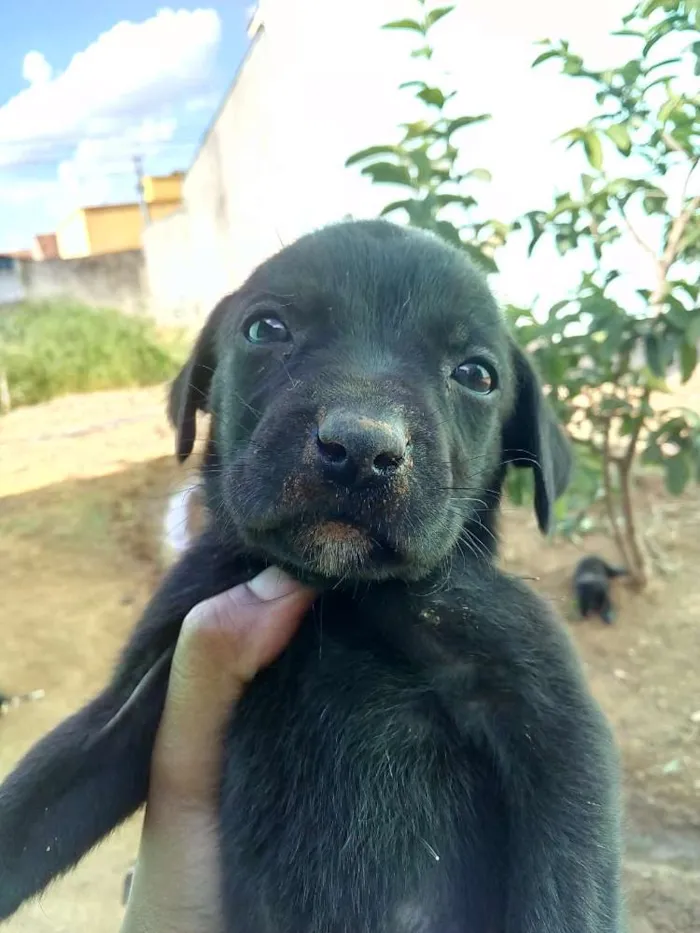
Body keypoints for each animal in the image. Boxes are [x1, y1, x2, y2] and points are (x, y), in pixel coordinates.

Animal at [0, 220, 624, 932]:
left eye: (475, 374)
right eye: (266, 328)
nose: (359, 449)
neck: (338, 596)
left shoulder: (552, 732)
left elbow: (567, 893)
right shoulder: (141, 684)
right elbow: (35, 800)